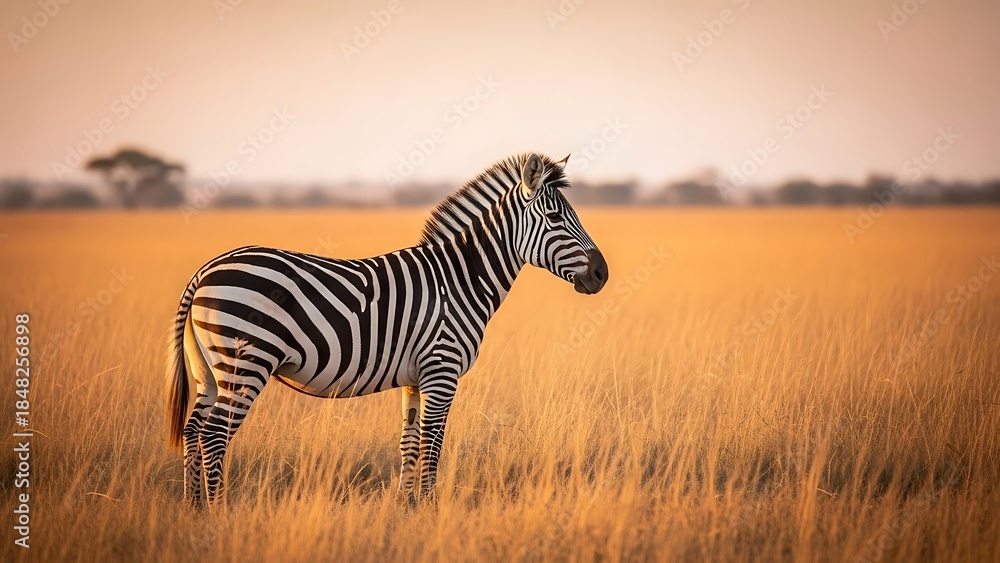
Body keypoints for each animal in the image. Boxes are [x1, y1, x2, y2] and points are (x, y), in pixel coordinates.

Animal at [167, 152, 609, 506]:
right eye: (555, 218)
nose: (602, 274)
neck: (459, 279)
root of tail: (205, 270)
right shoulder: (442, 370)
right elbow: (432, 442)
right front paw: (429, 507)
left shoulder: (415, 377)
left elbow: (408, 442)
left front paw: (407, 506)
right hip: (246, 363)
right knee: (213, 435)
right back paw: (218, 511)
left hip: (208, 370)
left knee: (193, 430)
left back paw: (194, 509)